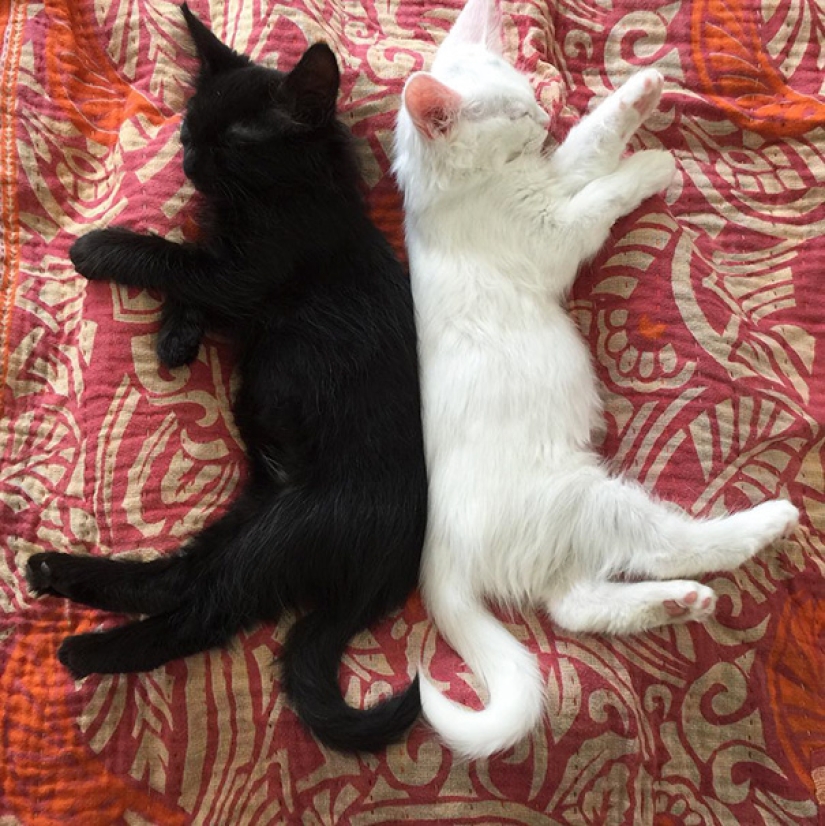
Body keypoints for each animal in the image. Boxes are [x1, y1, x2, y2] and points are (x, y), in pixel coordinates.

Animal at [27, 3, 424, 748]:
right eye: (188, 124)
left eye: (233, 140)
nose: (185, 155)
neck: (301, 190)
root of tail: (388, 574)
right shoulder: (232, 277)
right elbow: (193, 270)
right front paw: (177, 337)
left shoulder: (250, 272)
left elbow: (175, 256)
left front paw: (99, 246)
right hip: (252, 516)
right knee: (177, 580)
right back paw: (56, 571)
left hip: (287, 530)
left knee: (202, 612)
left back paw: (87, 649)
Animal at [392, 0, 800, 760]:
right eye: (509, 113)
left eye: (524, 94)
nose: (538, 115)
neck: (463, 192)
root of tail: (439, 561)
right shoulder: (553, 235)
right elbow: (595, 199)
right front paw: (645, 164)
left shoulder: (554, 176)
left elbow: (588, 144)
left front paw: (635, 95)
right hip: (586, 497)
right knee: (666, 545)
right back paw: (762, 524)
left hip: (563, 534)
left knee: (575, 606)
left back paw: (676, 603)